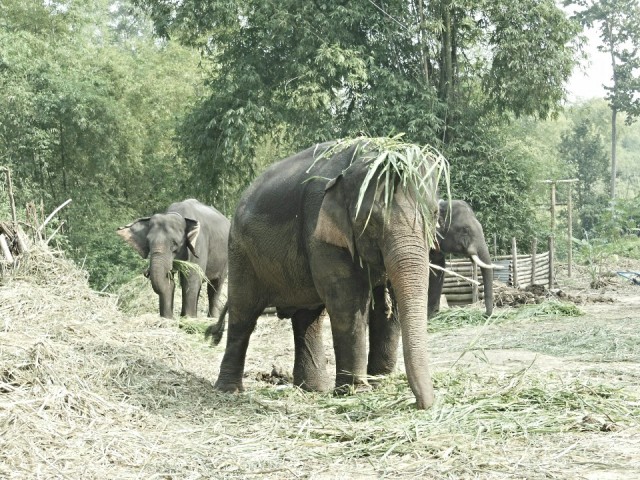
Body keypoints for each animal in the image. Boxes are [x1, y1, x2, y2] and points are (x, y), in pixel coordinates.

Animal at [211, 140, 441, 409]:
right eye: (371, 220)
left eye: (435, 214)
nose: (422, 404)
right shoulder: (319, 229)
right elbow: (347, 301)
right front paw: (355, 392)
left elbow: (389, 304)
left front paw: (379, 383)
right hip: (240, 251)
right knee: (243, 313)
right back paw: (229, 390)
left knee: (307, 318)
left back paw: (312, 389)